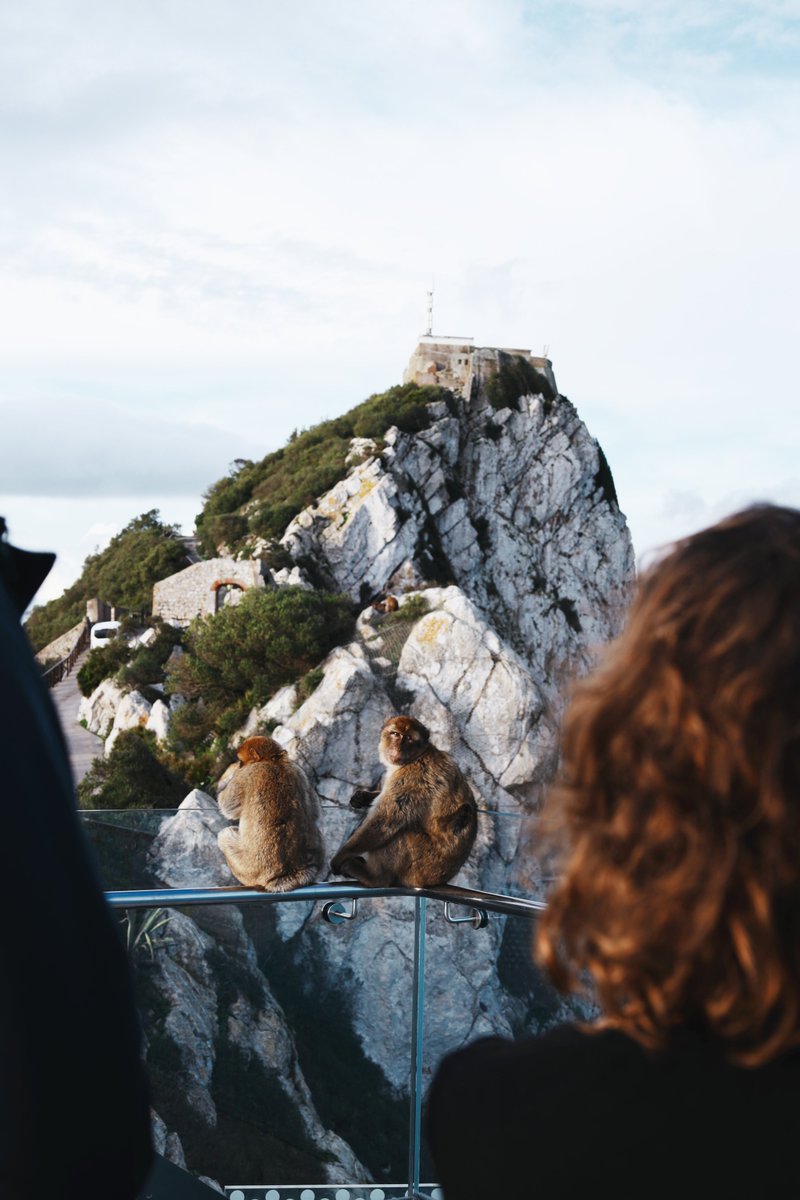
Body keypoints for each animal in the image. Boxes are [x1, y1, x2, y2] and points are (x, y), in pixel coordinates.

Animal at [216, 735, 325, 891]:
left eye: (241, 761)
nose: (240, 766)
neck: (273, 760)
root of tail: (290, 873)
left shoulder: (247, 774)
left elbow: (227, 805)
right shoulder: (298, 770)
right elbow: (315, 810)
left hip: (246, 869)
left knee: (224, 836)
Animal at [330, 716, 478, 888]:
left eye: (408, 738)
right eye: (395, 734)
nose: (399, 747)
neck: (418, 756)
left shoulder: (414, 776)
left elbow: (383, 822)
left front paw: (340, 856)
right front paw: (363, 797)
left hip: (422, 868)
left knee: (400, 831)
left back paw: (374, 877)